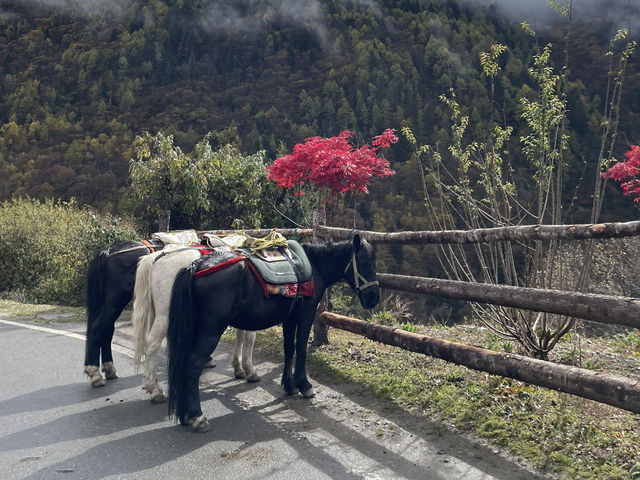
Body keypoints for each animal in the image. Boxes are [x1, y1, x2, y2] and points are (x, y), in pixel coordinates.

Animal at [83, 240, 160, 386]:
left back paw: (109, 369)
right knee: (98, 328)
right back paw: (94, 372)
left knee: (106, 329)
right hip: (117, 300)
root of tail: (107, 252)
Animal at [131, 246, 258, 404]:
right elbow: (250, 338)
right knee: (151, 345)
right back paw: (155, 390)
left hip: (154, 314)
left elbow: (240, 337)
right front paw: (250, 371)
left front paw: (238, 368)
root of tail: (158, 256)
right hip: (165, 316)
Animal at [166, 234, 380, 434]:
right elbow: (301, 349)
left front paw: (289, 385)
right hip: (211, 330)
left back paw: (185, 415)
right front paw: (305, 386)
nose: (374, 298)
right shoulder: (306, 314)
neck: (315, 267)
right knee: (193, 365)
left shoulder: (289, 318)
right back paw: (197, 416)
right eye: (365, 262)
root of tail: (196, 266)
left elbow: (289, 349)